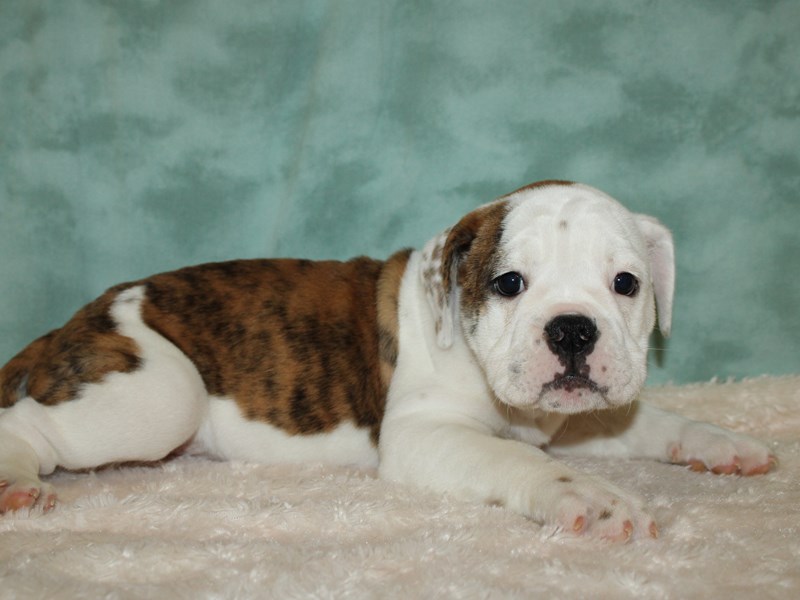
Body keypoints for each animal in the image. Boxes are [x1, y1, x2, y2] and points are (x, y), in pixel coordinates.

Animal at [0, 180, 776, 540]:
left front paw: (722, 444)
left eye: (626, 284)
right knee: (29, 426)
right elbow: (520, 460)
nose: (573, 332)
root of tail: (80, 319)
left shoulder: (576, 416)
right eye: (509, 284)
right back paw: (19, 484)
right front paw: (589, 496)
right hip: (162, 394)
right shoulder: (424, 435)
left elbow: (648, 421)